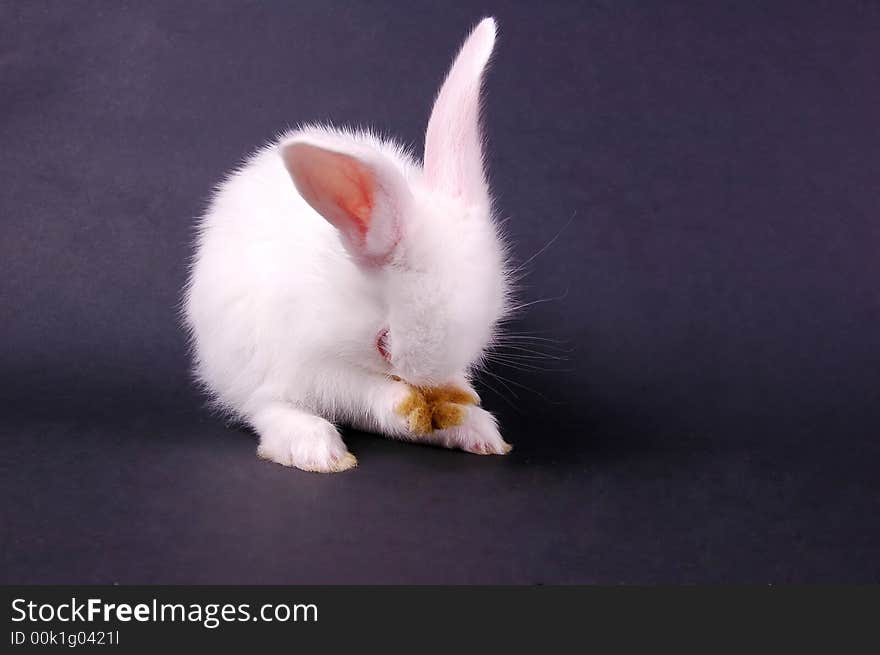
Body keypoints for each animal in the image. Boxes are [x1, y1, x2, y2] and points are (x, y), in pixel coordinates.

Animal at [186, 16, 516, 472]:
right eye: (383, 343)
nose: (424, 385)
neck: (345, 300)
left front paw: (459, 403)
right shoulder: (311, 357)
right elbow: (357, 391)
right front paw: (401, 404)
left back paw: (477, 432)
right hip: (244, 362)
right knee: (265, 405)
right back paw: (314, 447)